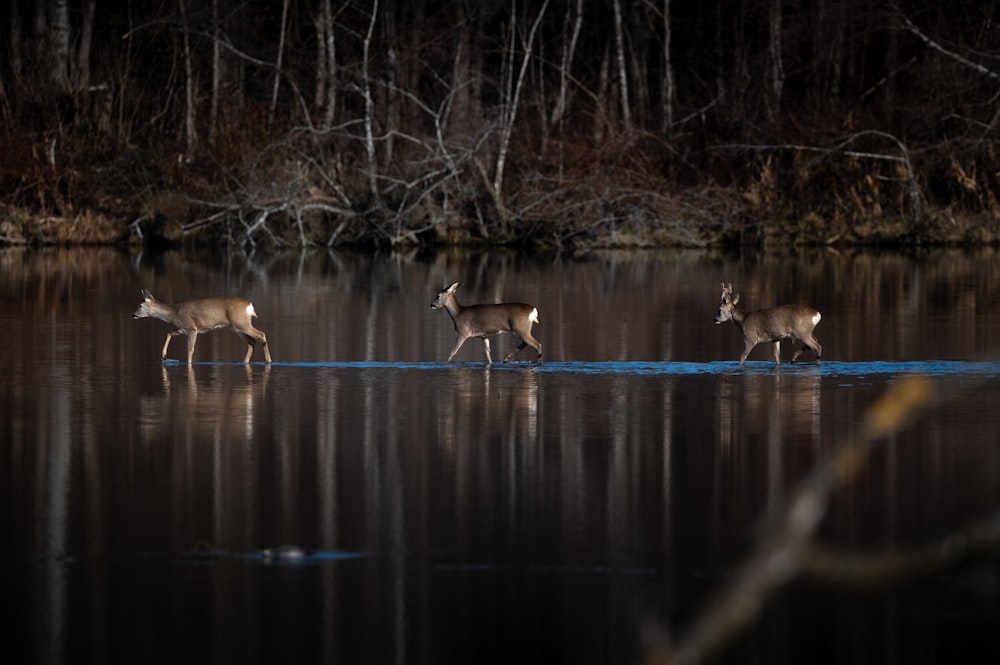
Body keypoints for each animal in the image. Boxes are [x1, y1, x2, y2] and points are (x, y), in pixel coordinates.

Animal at [135, 288, 274, 364]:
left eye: (140, 306)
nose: (133, 314)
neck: (174, 313)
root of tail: (249, 305)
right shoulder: (182, 329)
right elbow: (169, 332)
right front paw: (164, 355)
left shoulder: (192, 328)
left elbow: (190, 348)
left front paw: (188, 363)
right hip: (236, 327)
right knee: (251, 341)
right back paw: (245, 362)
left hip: (241, 323)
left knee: (261, 334)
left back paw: (269, 361)